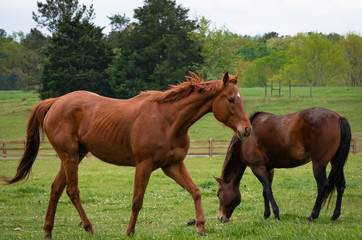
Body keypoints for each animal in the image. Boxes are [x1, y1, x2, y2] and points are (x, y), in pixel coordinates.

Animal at [2, 72, 252, 237]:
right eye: (231, 99)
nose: (247, 129)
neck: (170, 120)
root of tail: (56, 102)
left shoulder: (173, 165)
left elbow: (195, 191)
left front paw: (201, 226)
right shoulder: (144, 165)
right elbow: (137, 201)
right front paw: (130, 231)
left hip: (72, 157)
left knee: (55, 189)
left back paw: (48, 231)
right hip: (70, 157)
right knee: (72, 192)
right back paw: (89, 228)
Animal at [215, 107, 350, 223]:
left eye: (218, 194)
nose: (221, 218)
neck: (246, 141)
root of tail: (338, 117)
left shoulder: (257, 167)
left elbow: (268, 190)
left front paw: (276, 214)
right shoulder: (268, 169)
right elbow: (265, 191)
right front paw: (266, 214)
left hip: (319, 164)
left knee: (322, 186)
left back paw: (312, 216)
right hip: (336, 162)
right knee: (340, 184)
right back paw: (335, 215)